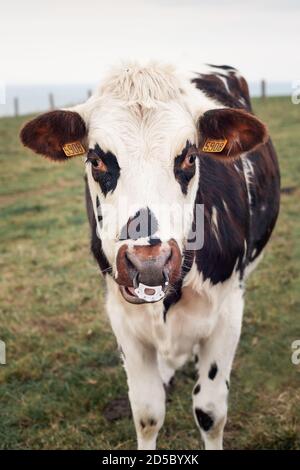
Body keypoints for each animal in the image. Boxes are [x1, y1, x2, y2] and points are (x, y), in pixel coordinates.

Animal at [19, 60, 280, 450]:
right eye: (96, 160)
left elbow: (211, 412)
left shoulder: (229, 311)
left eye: (189, 157)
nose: (149, 263)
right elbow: (147, 413)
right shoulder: (122, 317)